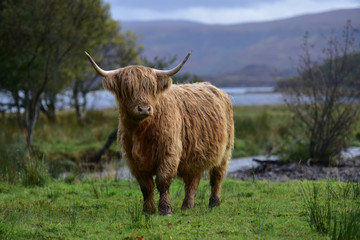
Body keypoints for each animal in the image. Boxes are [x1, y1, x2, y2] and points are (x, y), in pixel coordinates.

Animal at [86, 49, 235, 215]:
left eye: (151, 88)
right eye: (128, 88)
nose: (144, 108)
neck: (141, 132)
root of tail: (216, 89)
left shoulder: (169, 151)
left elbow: (163, 181)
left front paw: (165, 210)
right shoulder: (133, 159)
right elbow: (145, 186)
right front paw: (148, 210)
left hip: (225, 149)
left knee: (217, 176)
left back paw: (214, 203)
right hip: (194, 153)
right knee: (193, 179)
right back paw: (187, 206)